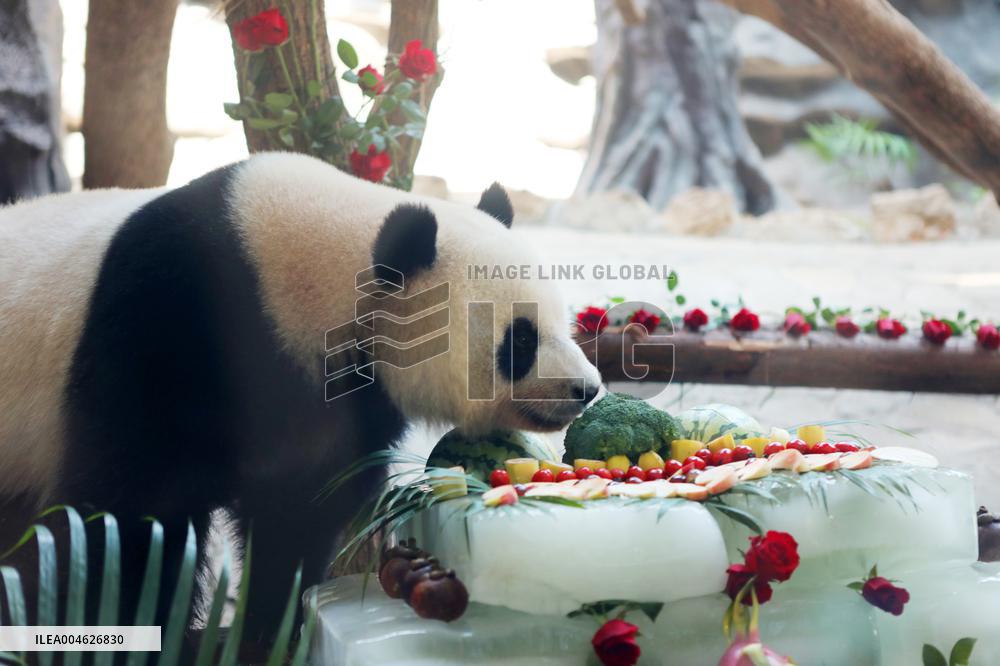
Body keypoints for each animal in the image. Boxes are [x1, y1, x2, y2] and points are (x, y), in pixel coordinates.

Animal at [0, 152, 602, 639]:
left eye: (562, 319)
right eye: (519, 340)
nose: (586, 389)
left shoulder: (339, 397)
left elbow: (297, 509)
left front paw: (268, 626)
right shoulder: (164, 327)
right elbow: (129, 509)